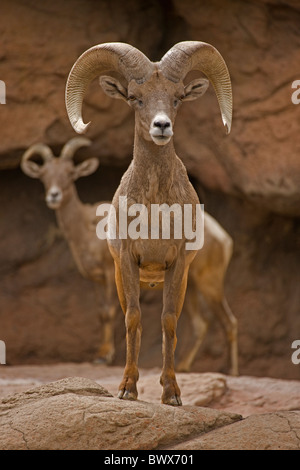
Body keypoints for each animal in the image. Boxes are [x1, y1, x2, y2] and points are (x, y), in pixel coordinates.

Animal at [20, 138, 117, 366]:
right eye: (43, 174)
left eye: (71, 172)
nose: (54, 195)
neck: (88, 227)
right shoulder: (96, 278)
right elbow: (101, 312)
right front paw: (99, 354)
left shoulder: (110, 272)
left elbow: (110, 310)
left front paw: (107, 355)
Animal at [67, 42, 233, 406]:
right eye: (135, 97)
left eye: (177, 98)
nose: (161, 126)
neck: (155, 213)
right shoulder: (127, 263)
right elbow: (133, 319)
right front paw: (127, 389)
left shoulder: (178, 266)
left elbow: (168, 321)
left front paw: (171, 393)